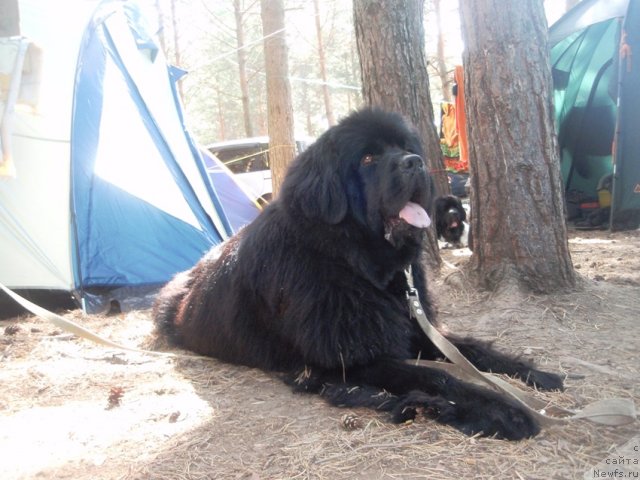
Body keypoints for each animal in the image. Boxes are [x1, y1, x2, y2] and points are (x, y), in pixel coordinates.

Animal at [154, 108, 560, 438]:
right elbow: (436, 376)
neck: (356, 263)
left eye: (405, 147)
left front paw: (536, 375)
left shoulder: (413, 326)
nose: (415, 162)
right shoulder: (352, 360)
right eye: (368, 157)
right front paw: (504, 410)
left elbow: (471, 349)